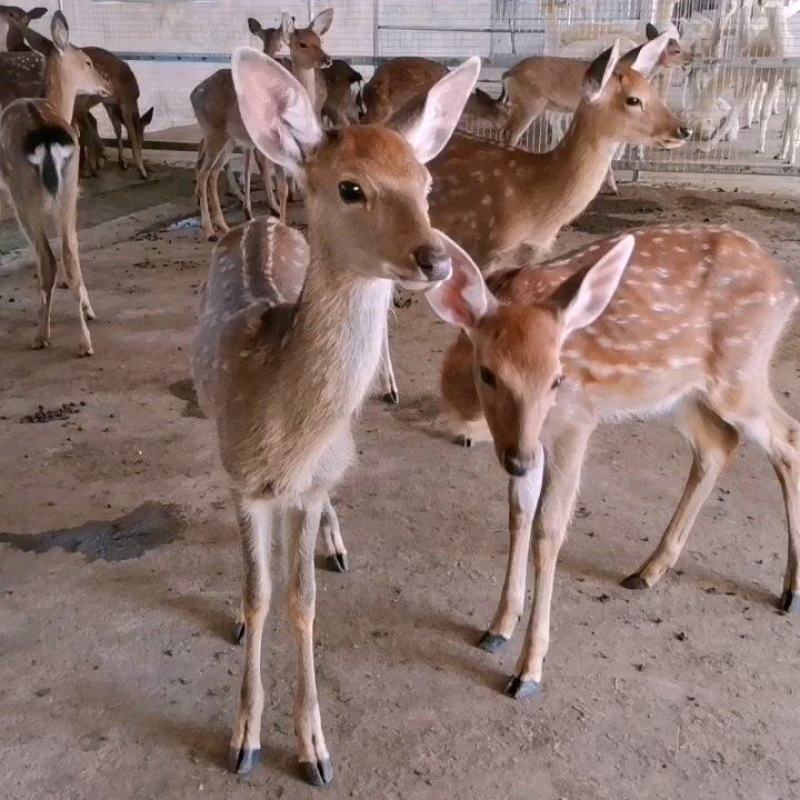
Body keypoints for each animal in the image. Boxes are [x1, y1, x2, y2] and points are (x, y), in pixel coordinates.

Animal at [0, 11, 111, 355]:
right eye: (87, 61)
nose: (107, 85)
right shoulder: (72, 190)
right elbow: (72, 245)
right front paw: (89, 309)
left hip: (25, 192)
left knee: (49, 257)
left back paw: (43, 335)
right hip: (64, 186)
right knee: (67, 255)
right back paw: (84, 340)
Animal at [191, 9, 333, 240]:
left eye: (319, 40)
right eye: (302, 43)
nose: (327, 59)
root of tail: (193, 94)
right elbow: (282, 187)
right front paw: (282, 222)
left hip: (229, 139)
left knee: (213, 173)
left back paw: (225, 226)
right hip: (214, 132)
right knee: (203, 173)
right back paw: (210, 231)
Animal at [192, 46, 479, 786]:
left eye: (425, 182)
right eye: (351, 188)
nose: (435, 257)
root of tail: (265, 222)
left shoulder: (309, 483)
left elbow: (303, 601)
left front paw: (314, 748)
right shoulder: (242, 480)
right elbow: (261, 595)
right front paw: (244, 740)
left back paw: (335, 542)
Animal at [425, 223, 800, 700]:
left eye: (557, 378)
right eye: (489, 373)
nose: (518, 460)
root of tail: (787, 286)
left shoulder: (574, 422)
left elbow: (548, 529)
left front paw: (528, 671)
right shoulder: (531, 440)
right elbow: (518, 514)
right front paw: (497, 627)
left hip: (740, 373)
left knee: (787, 438)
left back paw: (791, 591)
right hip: (680, 392)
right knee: (719, 443)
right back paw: (648, 571)